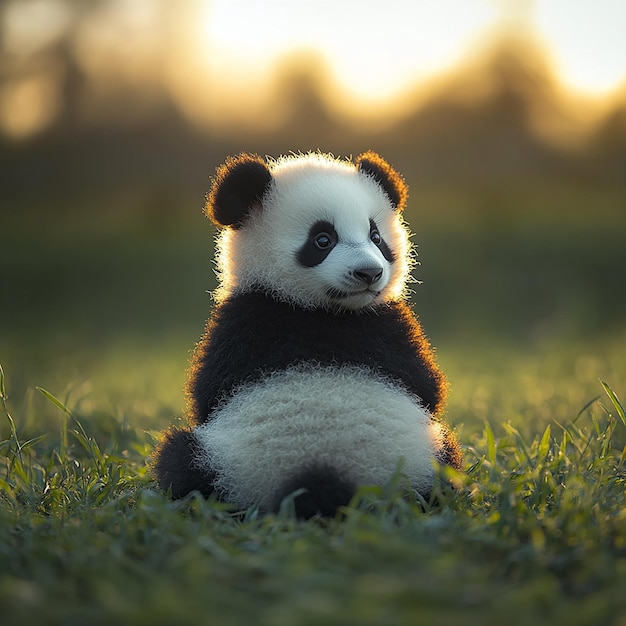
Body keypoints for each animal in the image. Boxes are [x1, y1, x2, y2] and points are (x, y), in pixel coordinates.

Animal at [154, 150, 460, 516]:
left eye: (376, 237)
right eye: (323, 240)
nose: (369, 273)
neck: (320, 309)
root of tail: (320, 476)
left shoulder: (385, 323)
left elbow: (427, 387)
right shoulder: (246, 317)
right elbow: (208, 393)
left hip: (423, 455)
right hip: (224, 460)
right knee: (180, 460)